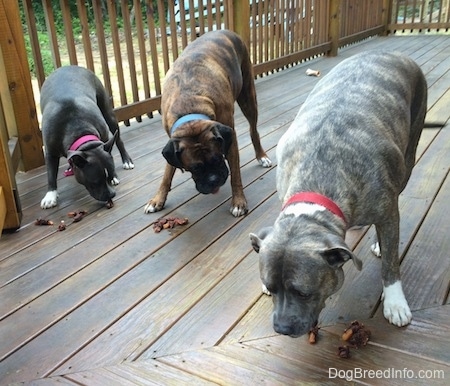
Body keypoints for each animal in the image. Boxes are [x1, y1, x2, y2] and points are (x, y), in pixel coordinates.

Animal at [40, 65, 134, 208]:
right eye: (95, 182)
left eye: (109, 176)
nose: (112, 194)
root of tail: (69, 66)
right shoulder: (50, 153)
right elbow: (51, 175)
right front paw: (50, 195)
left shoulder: (104, 140)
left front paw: (114, 177)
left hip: (108, 113)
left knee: (118, 139)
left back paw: (127, 160)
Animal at [250, 52, 428, 338]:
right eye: (273, 287)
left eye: (304, 293)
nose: (281, 329)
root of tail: (392, 54)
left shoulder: (387, 210)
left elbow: (391, 263)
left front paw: (395, 301)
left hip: (410, 152)